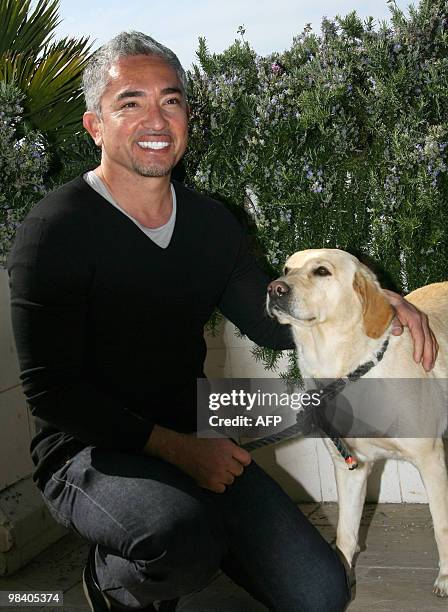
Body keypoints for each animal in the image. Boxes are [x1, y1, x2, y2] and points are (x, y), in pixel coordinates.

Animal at [266, 249, 448, 596]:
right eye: (286, 268)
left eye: (322, 271)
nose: (274, 289)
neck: (344, 371)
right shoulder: (350, 465)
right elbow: (345, 533)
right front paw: (344, 575)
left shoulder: (430, 458)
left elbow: (442, 525)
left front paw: (446, 577)